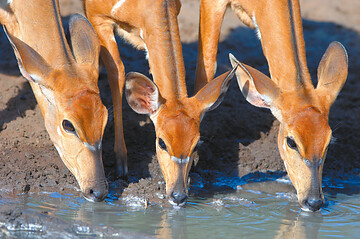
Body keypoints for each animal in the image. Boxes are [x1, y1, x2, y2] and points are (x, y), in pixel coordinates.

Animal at [83, 0, 238, 205]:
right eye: (162, 143)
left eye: (196, 144)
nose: (178, 196)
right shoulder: (98, 17)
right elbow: (118, 72)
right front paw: (121, 165)